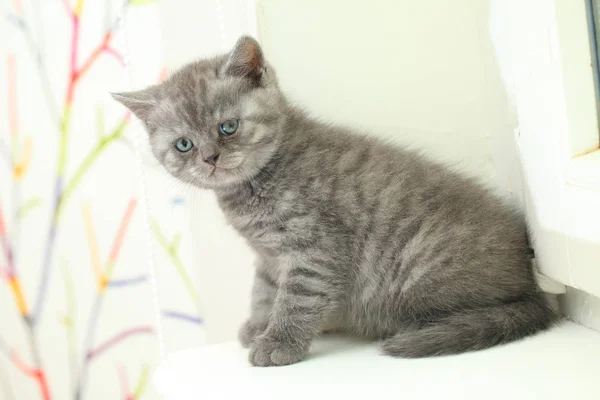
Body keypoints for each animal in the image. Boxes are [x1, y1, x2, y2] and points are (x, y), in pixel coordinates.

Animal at [112, 36, 552, 368]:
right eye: (183, 145)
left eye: (228, 127)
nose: (210, 158)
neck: (253, 186)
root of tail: (532, 285)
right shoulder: (269, 255)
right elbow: (264, 290)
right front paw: (259, 325)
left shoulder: (315, 247)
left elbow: (296, 298)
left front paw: (279, 343)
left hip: (416, 275)